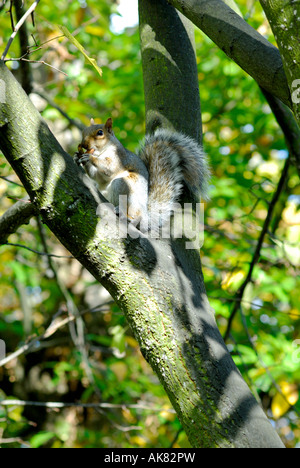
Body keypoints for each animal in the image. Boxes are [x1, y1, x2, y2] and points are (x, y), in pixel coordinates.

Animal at [74, 119, 210, 232]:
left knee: (132, 212)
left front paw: (90, 158)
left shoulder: (119, 158)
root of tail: (146, 215)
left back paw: (126, 215)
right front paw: (78, 158)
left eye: (100, 132)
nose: (84, 144)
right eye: (84, 131)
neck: (102, 151)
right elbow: (96, 176)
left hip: (123, 186)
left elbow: (109, 168)